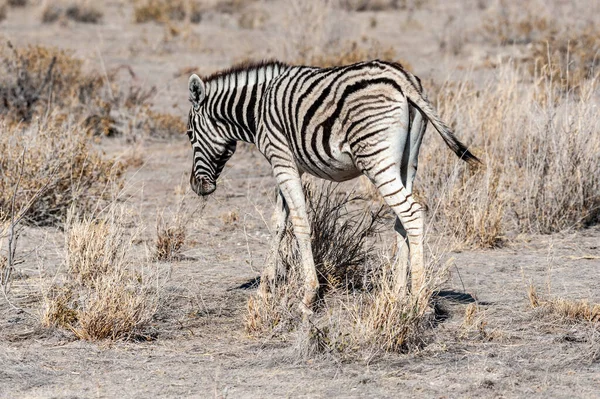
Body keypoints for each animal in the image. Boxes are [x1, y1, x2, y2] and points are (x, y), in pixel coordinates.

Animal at [185, 60, 480, 312]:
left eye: (189, 135)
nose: (196, 187)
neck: (257, 109)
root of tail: (403, 79)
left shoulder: (281, 158)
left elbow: (300, 223)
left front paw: (308, 296)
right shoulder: (289, 165)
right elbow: (278, 225)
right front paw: (264, 290)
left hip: (376, 158)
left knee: (412, 213)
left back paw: (419, 300)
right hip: (409, 160)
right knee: (402, 220)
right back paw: (398, 296)